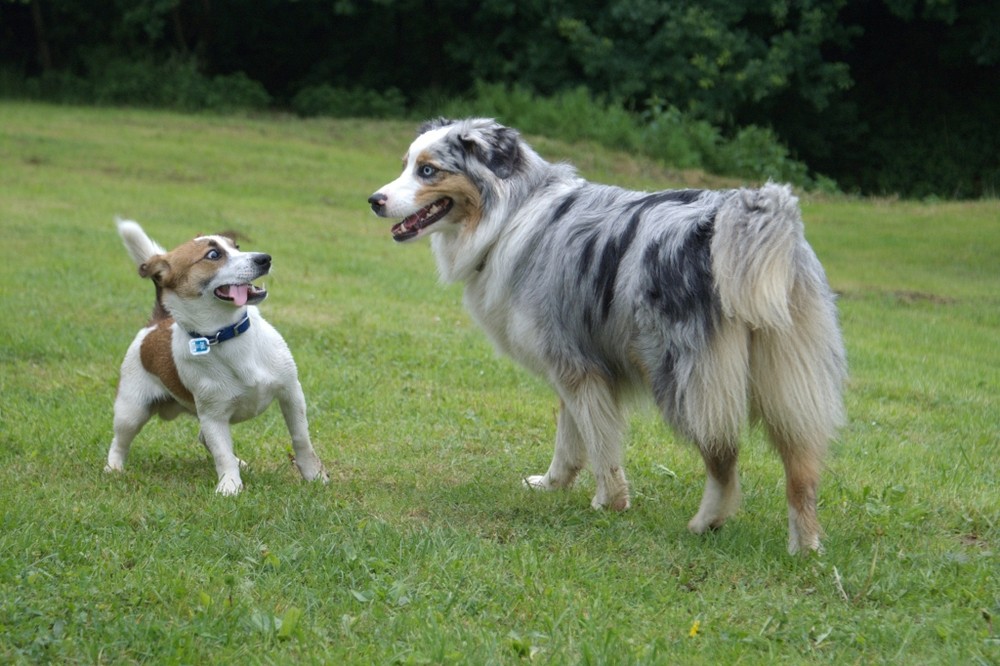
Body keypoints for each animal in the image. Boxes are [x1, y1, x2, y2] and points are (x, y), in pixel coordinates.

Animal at [107, 219, 330, 492]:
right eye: (213, 255)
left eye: (237, 246)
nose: (264, 258)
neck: (227, 333)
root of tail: (156, 323)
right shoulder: (213, 417)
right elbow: (222, 453)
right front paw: (230, 486)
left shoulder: (291, 392)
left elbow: (301, 439)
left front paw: (314, 475)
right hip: (132, 410)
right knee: (120, 441)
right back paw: (113, 468)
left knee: (203, 438)